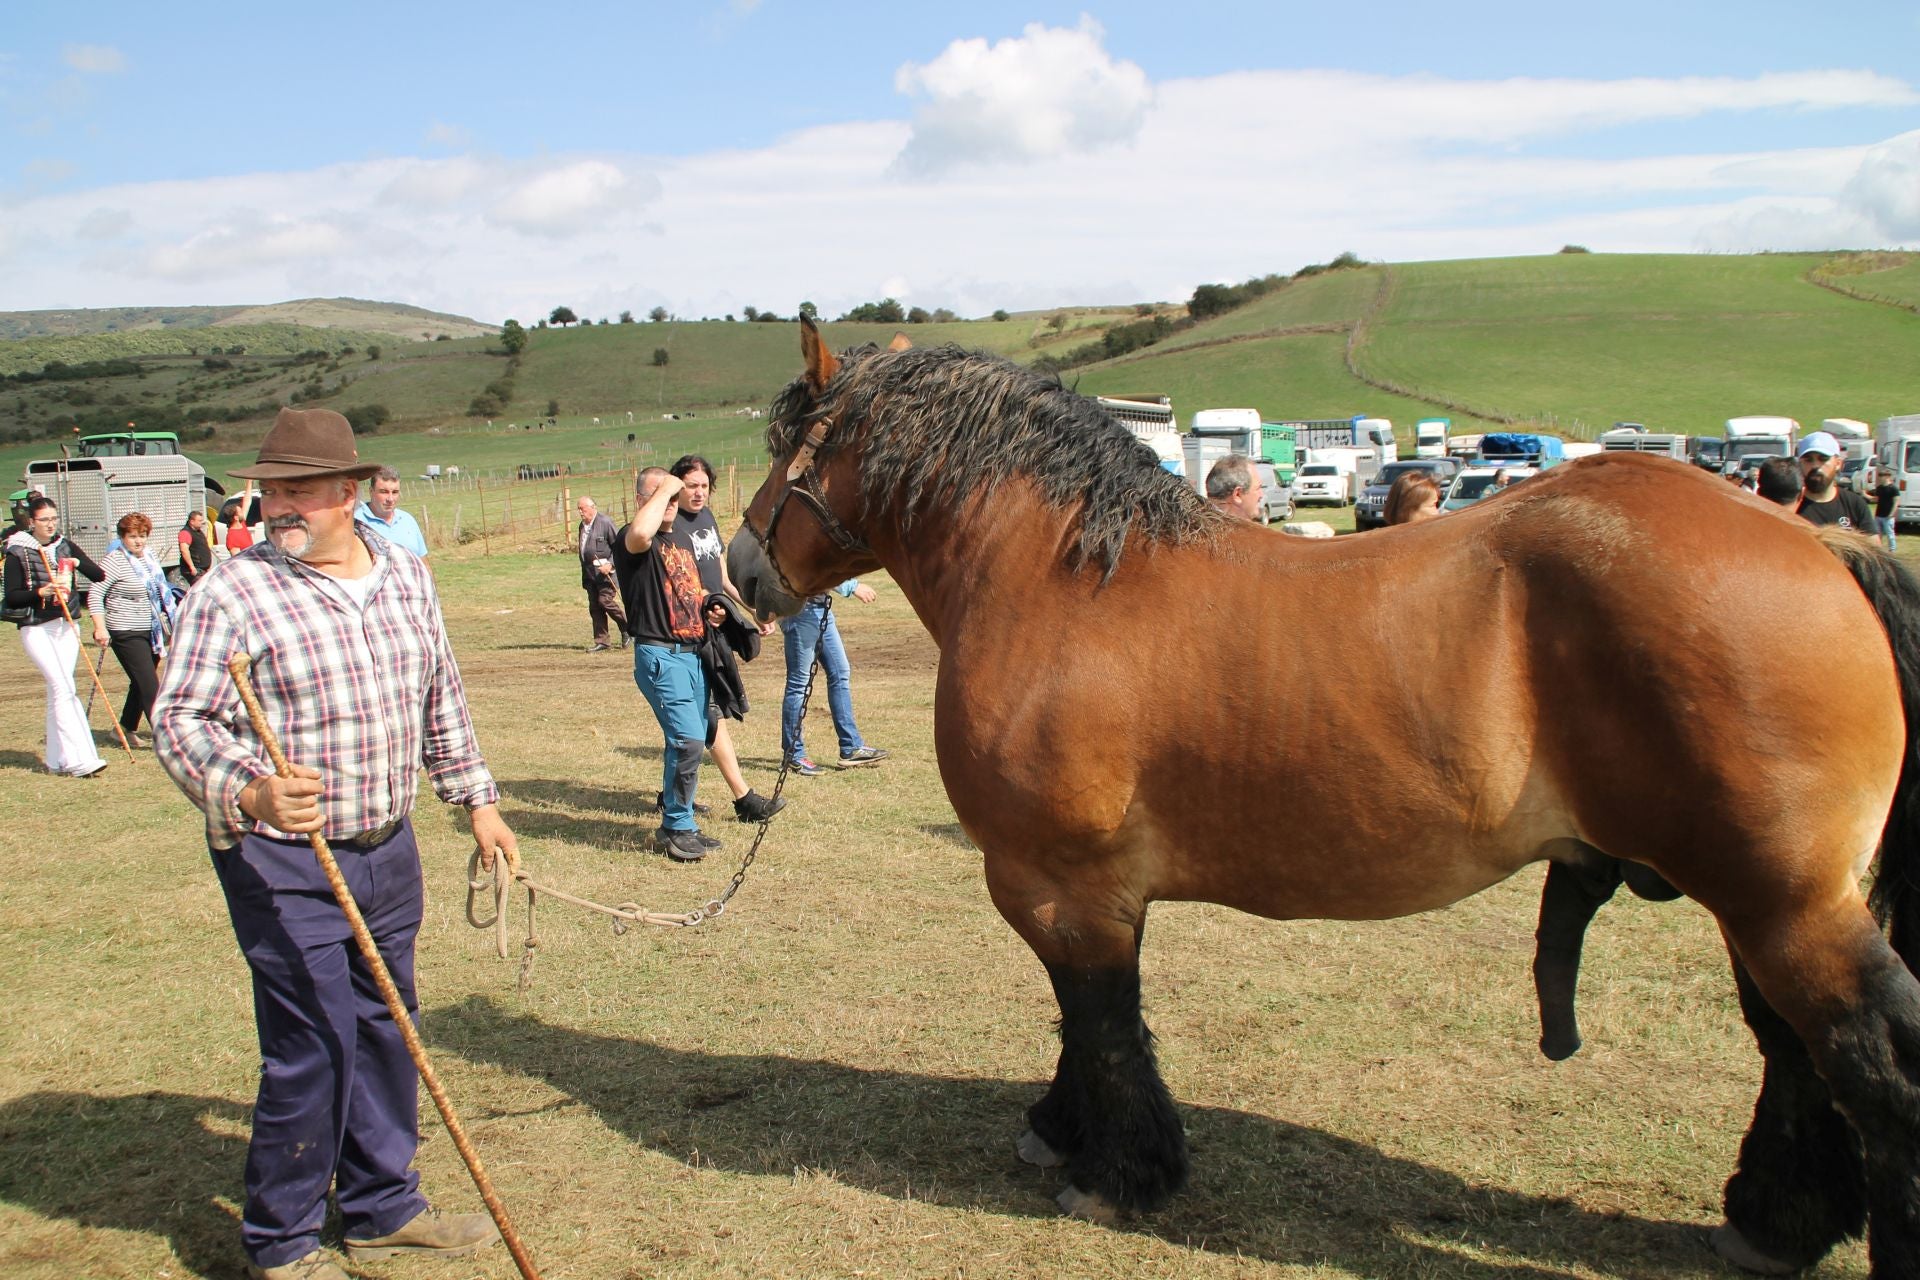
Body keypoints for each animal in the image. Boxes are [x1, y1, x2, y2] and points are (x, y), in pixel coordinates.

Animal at [729, 318, 1920, 1274]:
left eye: (791, 443)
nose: (737, 573)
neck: (1064, 583)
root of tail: (1819, 538)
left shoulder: (1061, 887)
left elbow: (1102, 1022)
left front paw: (1117, 1173)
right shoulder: (1082, 894)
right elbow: (1084, 1024)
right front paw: (1063, 1130)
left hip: (1783, 903)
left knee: (1874, 1064)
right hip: (1757, 898)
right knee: (1793, 1050)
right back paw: (1775, 1219)